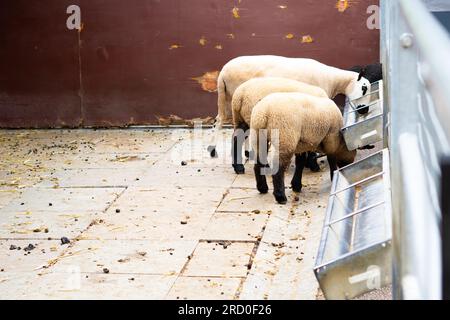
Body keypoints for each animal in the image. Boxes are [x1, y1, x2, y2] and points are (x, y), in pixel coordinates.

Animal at [207, 56, 370, 159]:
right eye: (364, 88)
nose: (365, 110)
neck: (334, 80)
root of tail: (223, 72)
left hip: (228, 98)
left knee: (221, 121)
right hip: (234, 97)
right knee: (224, 122)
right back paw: (214, 150)